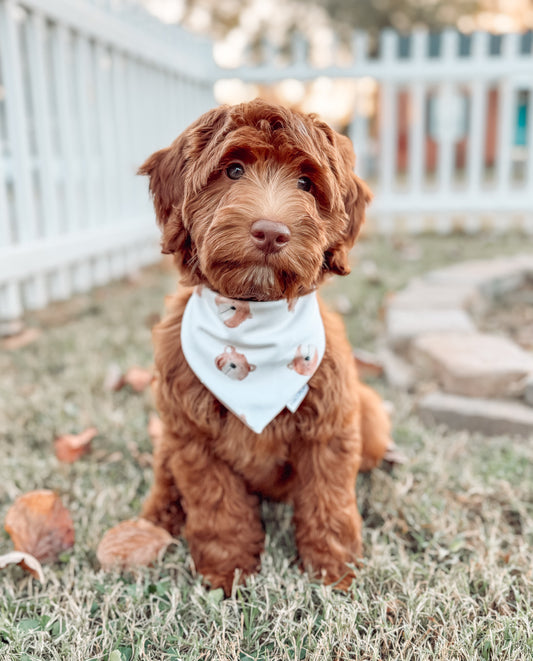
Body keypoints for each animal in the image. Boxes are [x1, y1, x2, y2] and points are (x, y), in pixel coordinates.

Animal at [139, 98, 392, 592]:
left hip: (368, 413)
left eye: (306, 183)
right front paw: (228, 570)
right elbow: (217, 506)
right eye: (233, 169)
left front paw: (334, 570)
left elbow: (329, 500)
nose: (271, 232)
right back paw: (156, 518)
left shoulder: (329, 426)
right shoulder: (192, 437)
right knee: (164, 471)